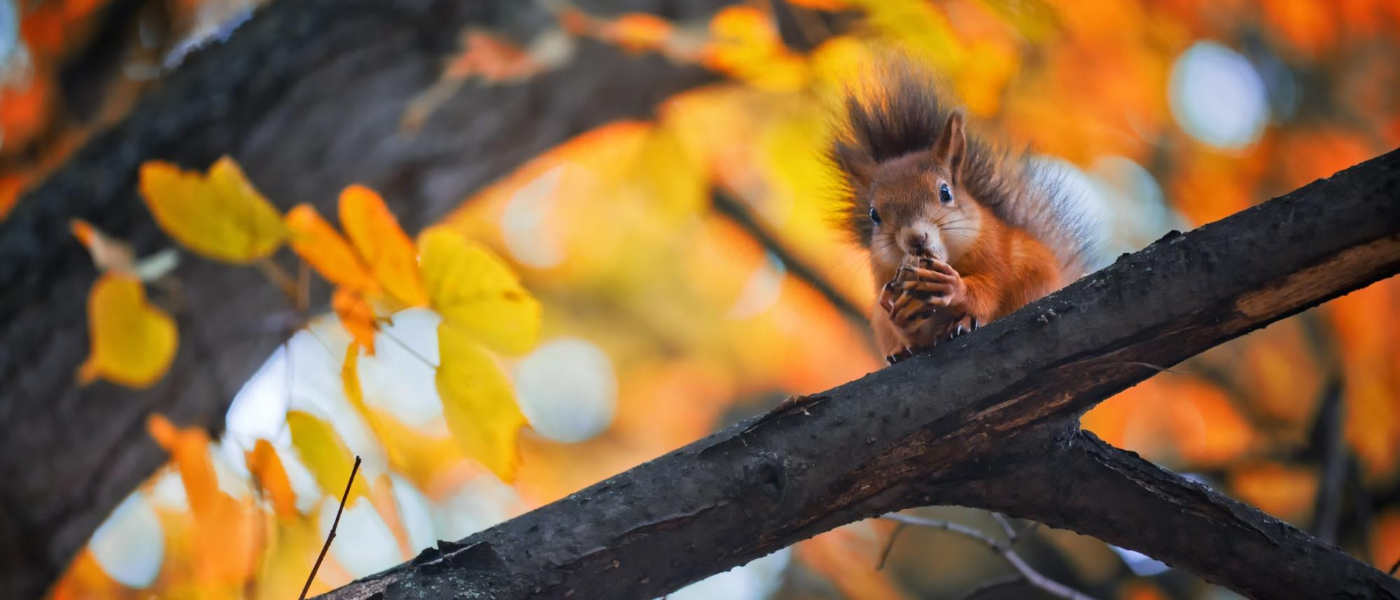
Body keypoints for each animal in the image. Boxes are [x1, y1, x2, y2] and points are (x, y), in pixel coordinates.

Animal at [828, 66, 1103, 363]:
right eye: (874, 215)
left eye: (945, 192)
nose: (915, 237)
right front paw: (896, 313)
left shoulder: (993, 255)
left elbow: (988, 289)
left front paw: (953, 288)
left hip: (1034, 272)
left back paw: (962, 324)